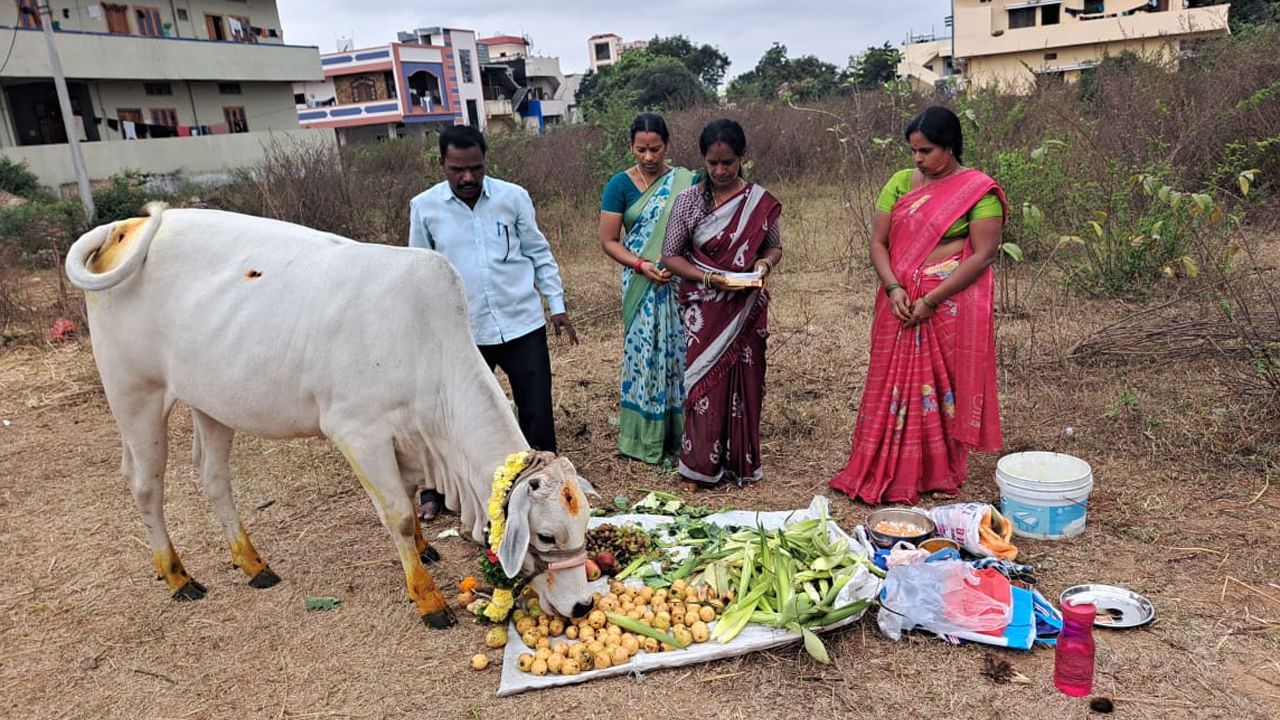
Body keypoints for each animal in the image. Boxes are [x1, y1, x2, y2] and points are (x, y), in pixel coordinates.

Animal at [63, 199, 593, 622]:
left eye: (585, 523)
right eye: (546, 537)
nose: (582, 605)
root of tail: (123, 227)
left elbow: (407, 495)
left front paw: (424, 551)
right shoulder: (359, 434)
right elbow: (399, 514)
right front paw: (427, 599)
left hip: (211, 402)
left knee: (213, 476)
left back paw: (252, 563)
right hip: (135, 395)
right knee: (145, 484)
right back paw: (177, 576)